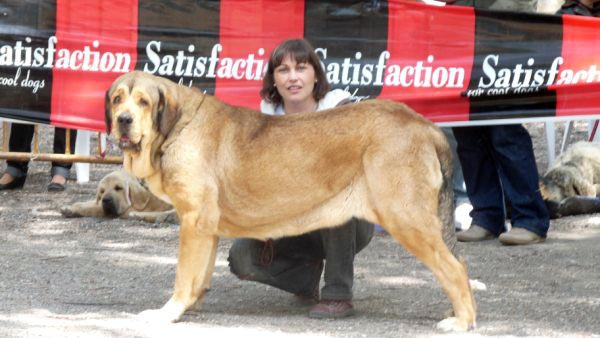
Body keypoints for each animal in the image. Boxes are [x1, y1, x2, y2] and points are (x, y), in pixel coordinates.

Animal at [105, 70, 476, 332]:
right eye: (117, 99)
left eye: (143, 102)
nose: (123, 120)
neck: (177, 128)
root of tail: (425, 125)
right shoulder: (206, 228)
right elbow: (200, 274)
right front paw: (192, 306)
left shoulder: (193, 222)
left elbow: (183, 276)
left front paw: (169, 312)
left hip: (406, 219)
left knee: (455, 267)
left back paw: (462, 321)